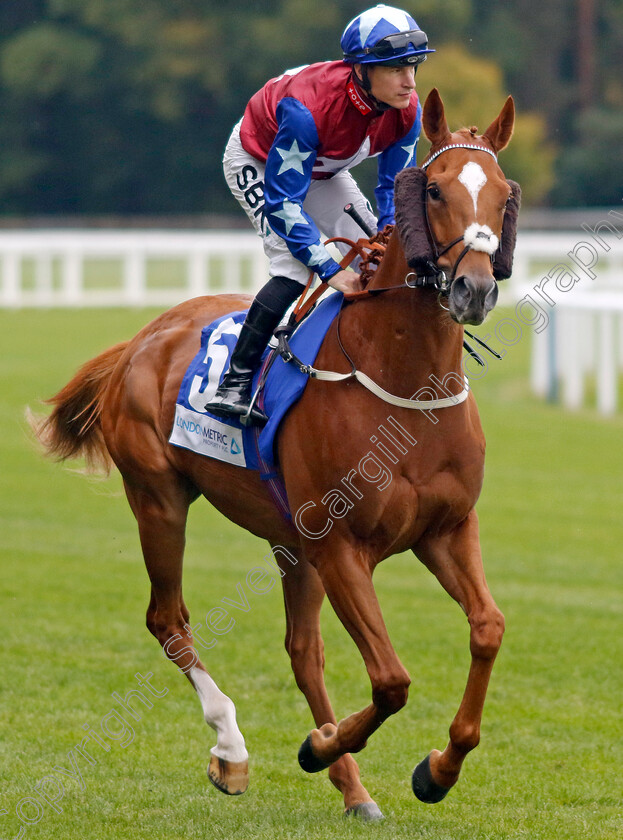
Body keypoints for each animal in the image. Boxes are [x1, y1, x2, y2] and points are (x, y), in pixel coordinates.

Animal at [34, 90, 520, 820]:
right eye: (434, 189)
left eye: (504, 193)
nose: (474, 289)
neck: (406, 387)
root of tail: (144, 337)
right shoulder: (340, 545)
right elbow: (391, 678)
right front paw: (316, 748)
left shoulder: (446, 529)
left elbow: (486, 629)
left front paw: (437, 768)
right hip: (159, 499)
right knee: (168, 619)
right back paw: (233, 750)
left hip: (290, 541)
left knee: (301, 651)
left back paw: (352, 789)